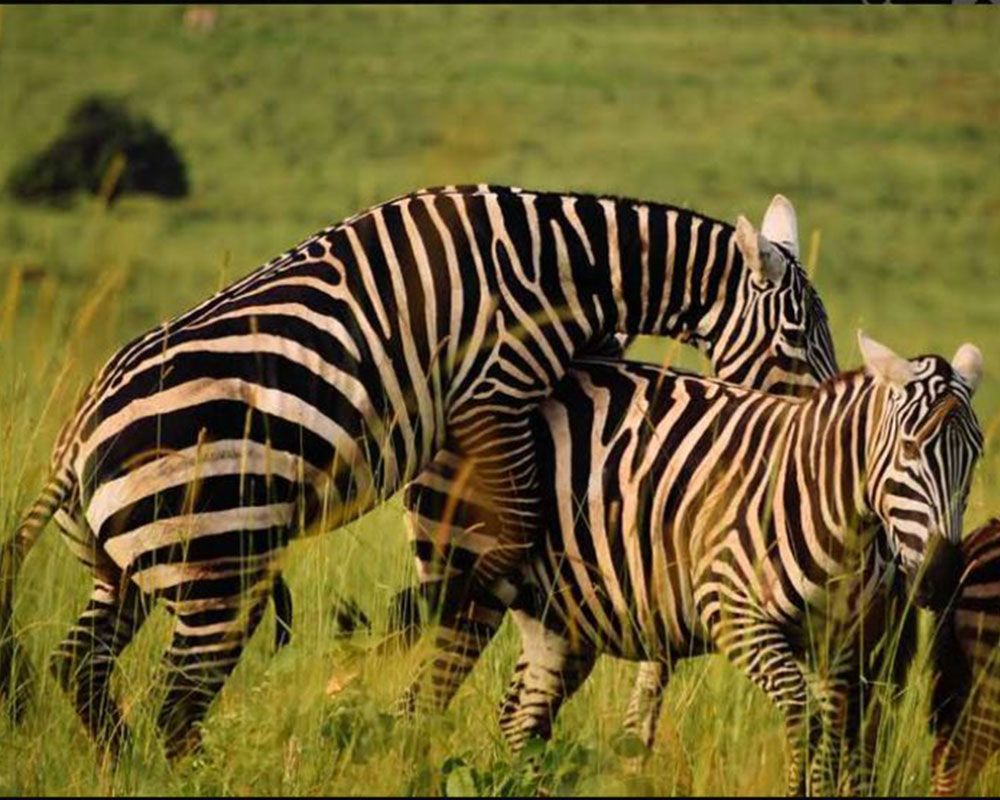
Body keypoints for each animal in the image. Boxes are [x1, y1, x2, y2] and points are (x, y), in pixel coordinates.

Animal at [0, 186, 836, 764]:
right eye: (798, 340)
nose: (816, 431)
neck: (566, 264)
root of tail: (74, 437)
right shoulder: (497, 387)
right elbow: (518, 527)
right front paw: (427, 602)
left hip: (125, 568)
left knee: (81, 666)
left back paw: (120, 765)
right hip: (214, 564)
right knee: (175, 700)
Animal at [492, 334, 984, 796]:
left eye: (977, 454)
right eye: (910, 448)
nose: (940, 578)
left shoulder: (838, 642)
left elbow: (831, 737)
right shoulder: (732, 610)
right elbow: (803, 715)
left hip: (563, 614)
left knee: (521, 716)